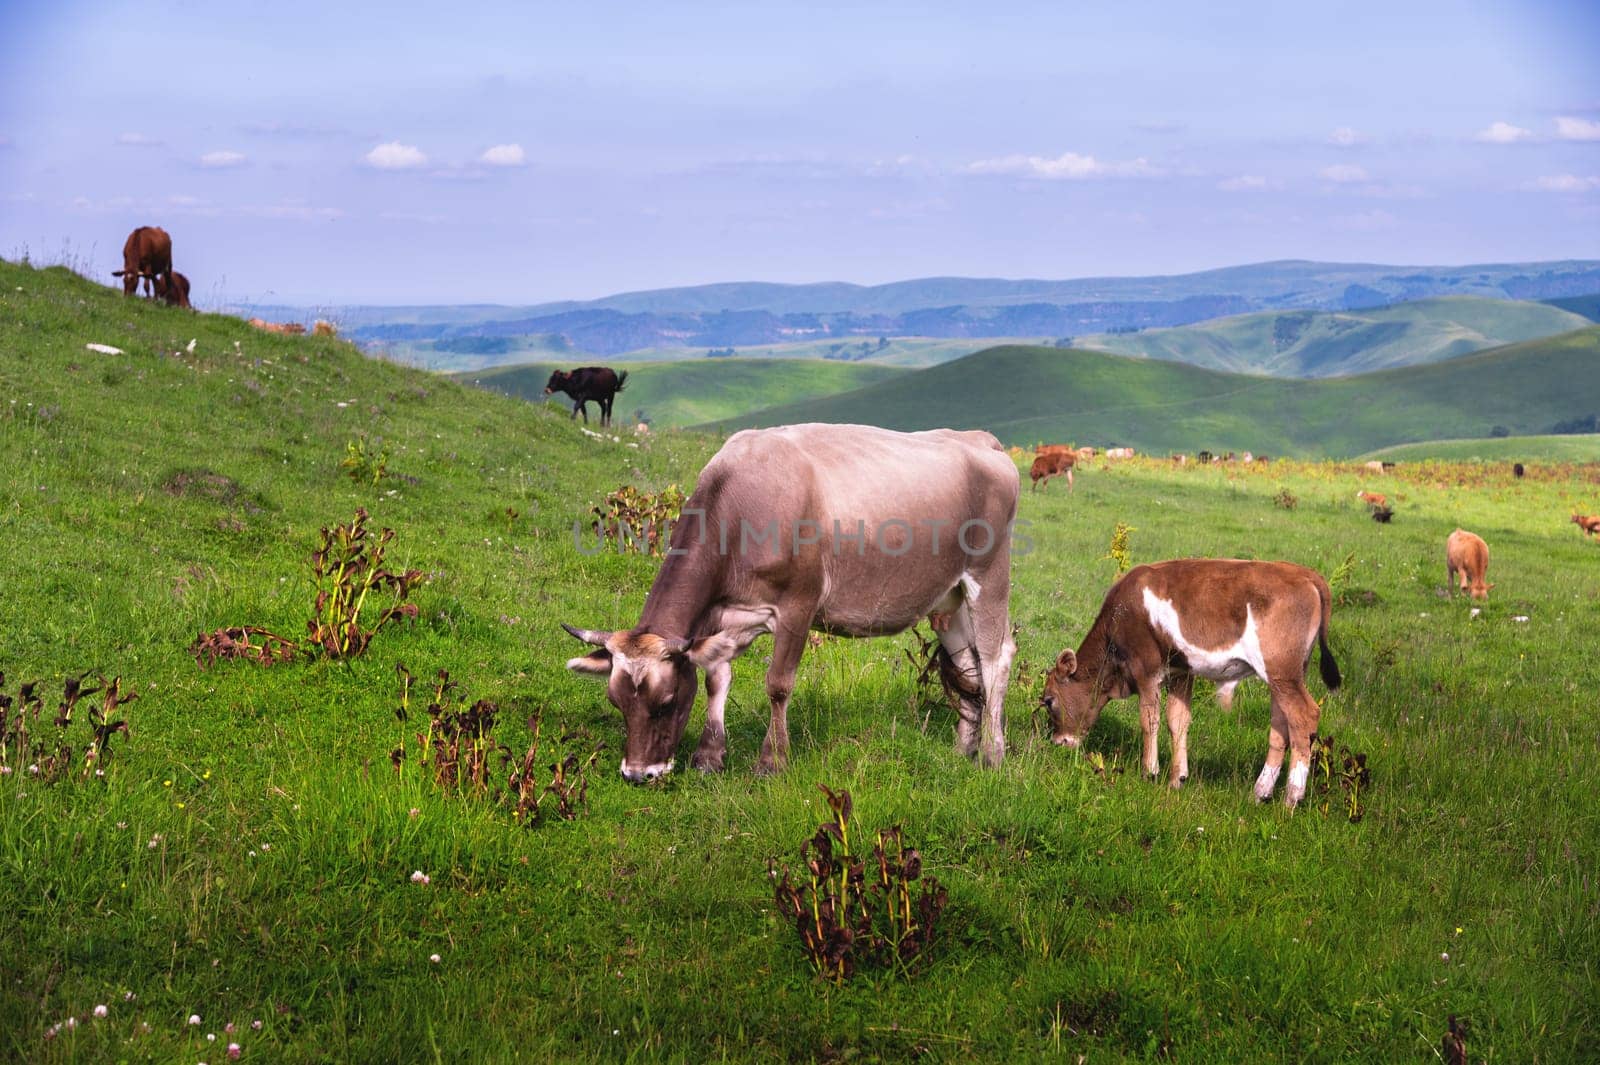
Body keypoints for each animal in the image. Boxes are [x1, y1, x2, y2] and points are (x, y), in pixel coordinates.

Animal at [563, 422, 1017, 780]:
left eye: (667, 701)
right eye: (616, 702)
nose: (638, 774)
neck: (740, 507)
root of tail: (981, 439)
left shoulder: (799, 604)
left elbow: (778, 685)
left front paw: (772, 761)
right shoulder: (722, 615)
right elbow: (715, 677)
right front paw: (709, 755)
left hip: (988, 575)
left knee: (995, 658)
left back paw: (992, 754)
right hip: (948, 598)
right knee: (967, 664)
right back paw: (963, 749)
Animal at [1043, 556, 1344, 805]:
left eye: (1049, 700)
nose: (1058, 741)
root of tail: (1304, 573)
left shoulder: (1146, 669)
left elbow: (1149, 721)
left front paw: (1150, 772)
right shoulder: (1181, 673)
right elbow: (1177, 720)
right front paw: (1177, 778)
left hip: (1282, 673)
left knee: (1304, 716)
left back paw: (1291, 798)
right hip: (1283, 677)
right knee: (1280, 725)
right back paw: (1260, 792)